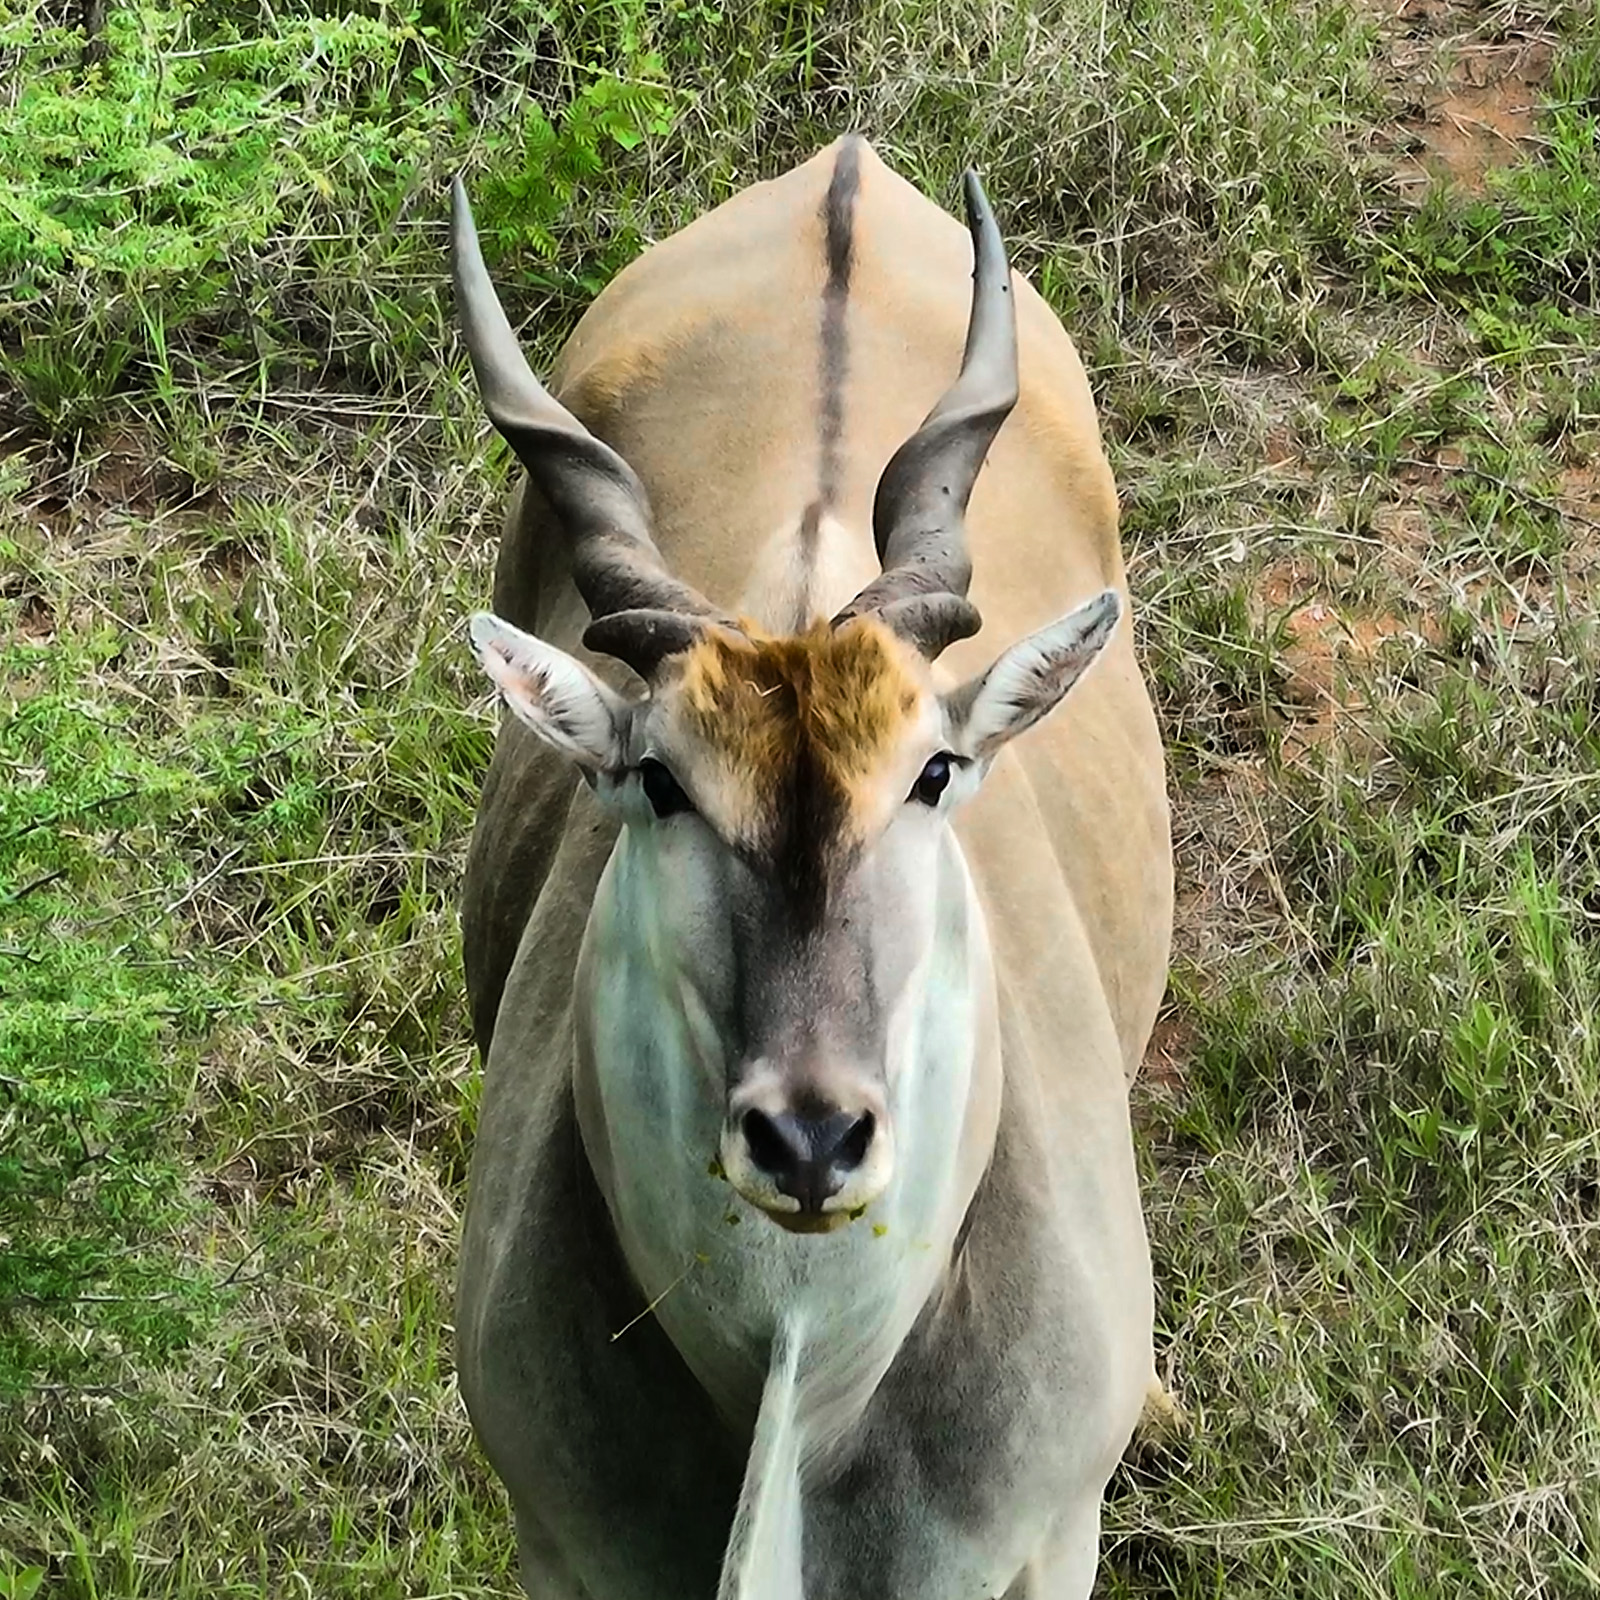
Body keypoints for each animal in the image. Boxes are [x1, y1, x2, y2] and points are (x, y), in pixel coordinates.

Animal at [453, 136, 1173, 1600]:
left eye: (934, 772)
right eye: (660, 781)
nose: (809, 1138)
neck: (793, 1382)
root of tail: (844, 169)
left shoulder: (1049, 1540)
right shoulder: (559, 1544)